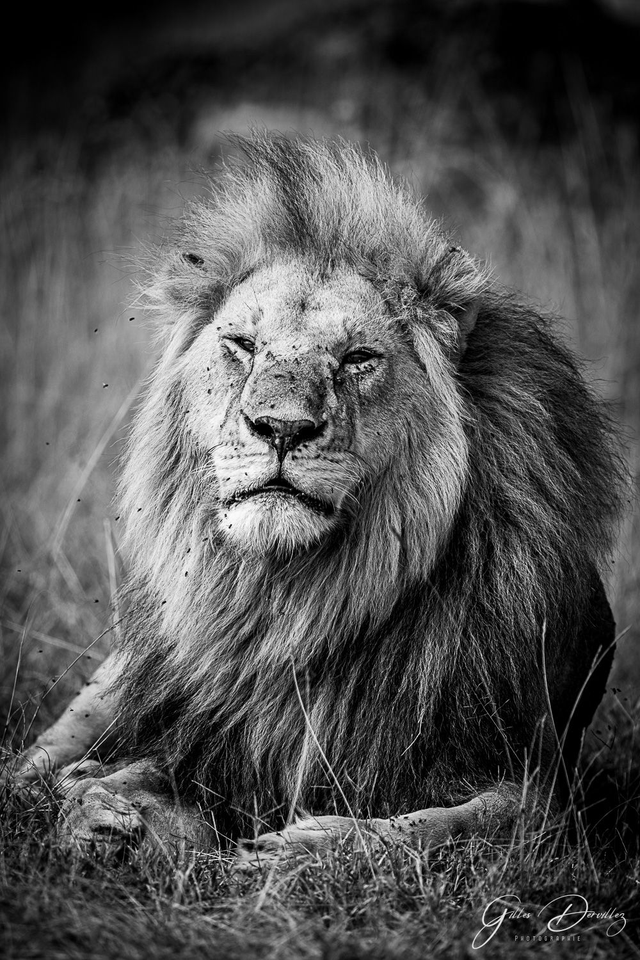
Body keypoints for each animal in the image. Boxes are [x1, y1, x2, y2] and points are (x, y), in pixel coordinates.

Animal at [10, 132, 624, 863]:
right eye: (242, 345)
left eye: (359, 358)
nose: (280, 427)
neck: (300, 600)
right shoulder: (209, 737)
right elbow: (133, 773)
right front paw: (105, 813)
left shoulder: (542, 784)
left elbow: (457, 824)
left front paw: (303, 850)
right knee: (33, 763)